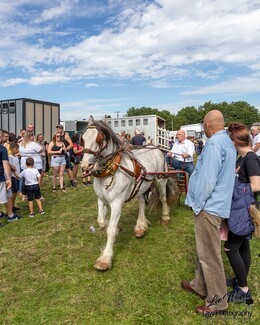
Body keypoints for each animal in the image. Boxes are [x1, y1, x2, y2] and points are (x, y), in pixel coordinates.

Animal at [82, 115, 179, 270]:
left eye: (99, 138)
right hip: (141, 186)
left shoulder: (117, 203)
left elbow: (109, 229)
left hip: (160, 180)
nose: (86, 165)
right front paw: (117, 229)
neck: (111, 170)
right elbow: (101, 222)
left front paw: (105, 258)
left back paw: (165, 217)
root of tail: (155, 147)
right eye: (83, 138)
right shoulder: (101, 200)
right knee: (141, 204)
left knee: (163, 199)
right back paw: (140, 227)